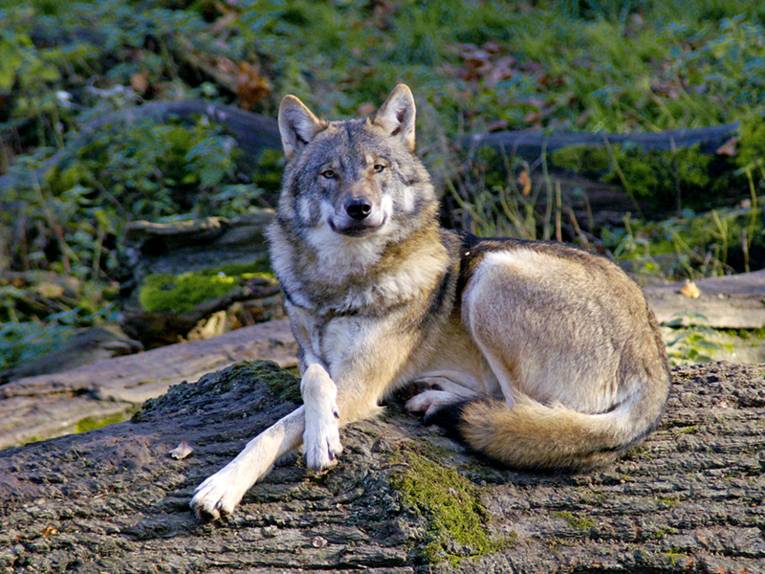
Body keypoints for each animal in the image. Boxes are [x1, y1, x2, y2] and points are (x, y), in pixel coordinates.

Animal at [190, 84, 670, 520]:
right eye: (329, 174)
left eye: (378, 168)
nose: (359, 207)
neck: (342, 282)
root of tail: (656, 361)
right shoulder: (313, 356)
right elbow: (312, 381)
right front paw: (313, 432)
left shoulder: (361, 384)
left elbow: (277, 428)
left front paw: (235, 478)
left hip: (491, 274)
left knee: (524, 411)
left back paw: (441, 404)